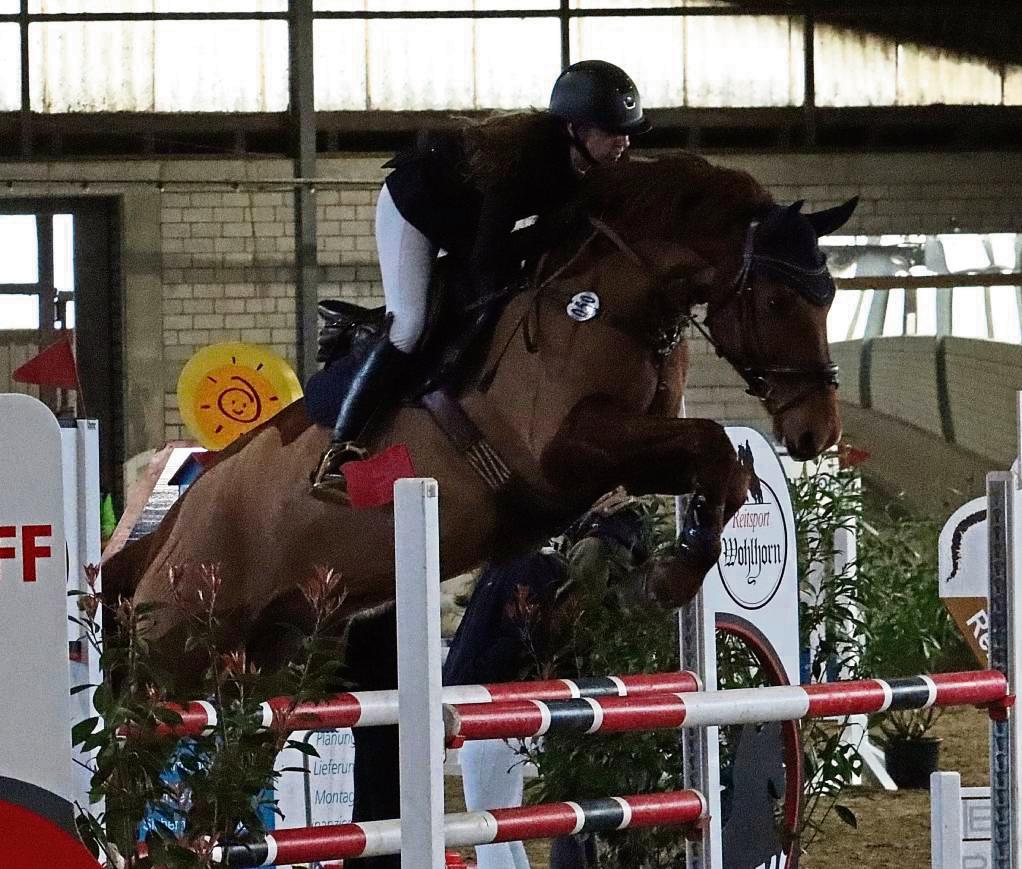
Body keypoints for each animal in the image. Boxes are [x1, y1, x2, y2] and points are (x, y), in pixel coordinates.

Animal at [103, 154, 854, 682]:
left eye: (831, 296)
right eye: (779, 303)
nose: (816, 432)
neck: (608, 305)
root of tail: (168, 525)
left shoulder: (637, 455)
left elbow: (720, 465)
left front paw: (674, 563)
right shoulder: (564, 453)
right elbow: (710, 444)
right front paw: (666, 576)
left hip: (267, 653)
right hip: (176, 646)